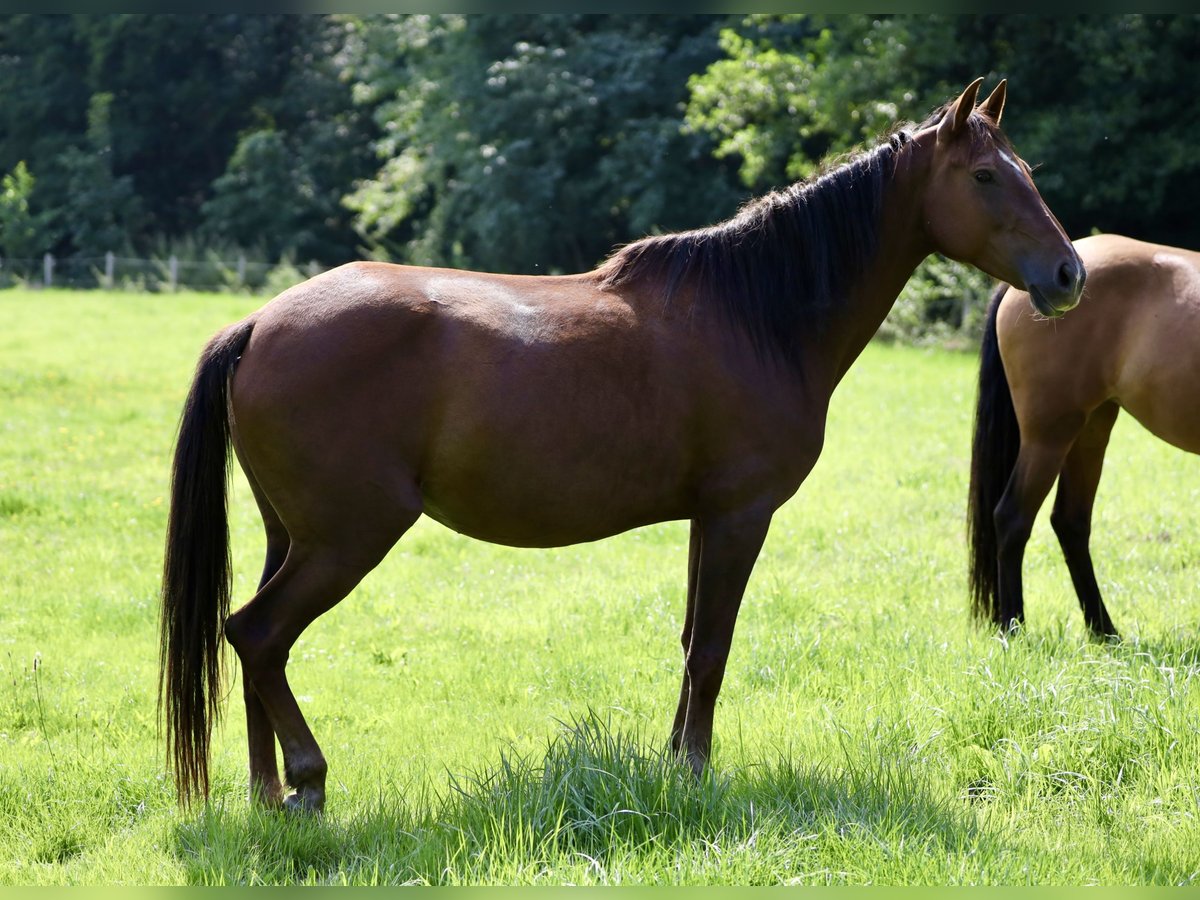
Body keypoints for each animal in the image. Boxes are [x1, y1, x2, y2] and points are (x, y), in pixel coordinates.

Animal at [161, 78, 1084, 812]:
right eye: (985, 176)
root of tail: (260, 324)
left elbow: (689, 642)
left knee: (256, 647)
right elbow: (713, 645)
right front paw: (697, 773)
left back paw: (268, 792)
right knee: (257, 634)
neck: (757, 314)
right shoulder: (741, 514)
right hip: (347, 538)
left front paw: (674, 762)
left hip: (291, 536)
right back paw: (309, 781)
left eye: (1030, 173)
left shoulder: (707, 519)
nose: (1070, 274)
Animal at [968, 233, 1200, 639]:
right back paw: (1014, 627)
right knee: (1013, 517)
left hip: (1091, 429)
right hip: (1048, 436)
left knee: (1070, 521)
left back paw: (1104, 631)